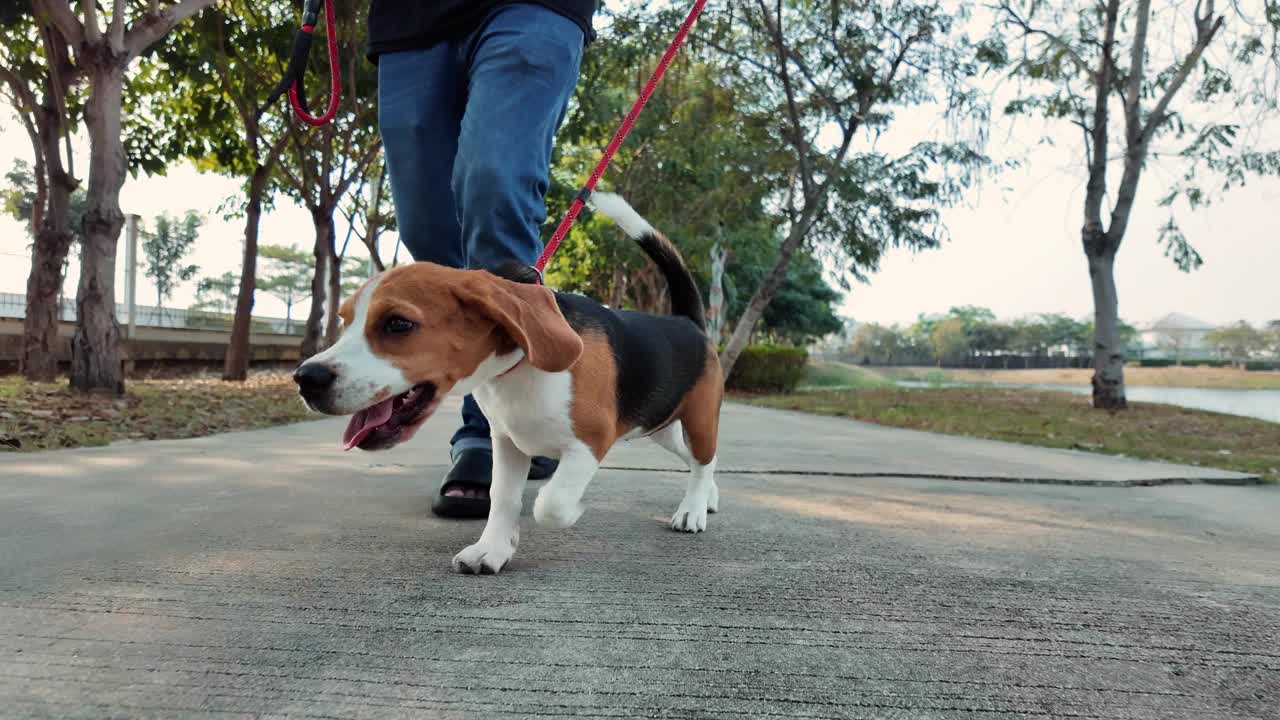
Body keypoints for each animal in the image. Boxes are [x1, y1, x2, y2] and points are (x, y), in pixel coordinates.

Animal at [293, 192, 727, 571]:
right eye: (346, 321)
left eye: (398, 324)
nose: (304, 378)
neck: (519, 369)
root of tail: (688, 323)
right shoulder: (506, 442)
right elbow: (501, 498)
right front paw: (493, 549)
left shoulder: (591, 440)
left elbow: (551, 505)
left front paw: (568, 512)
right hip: (660, 427)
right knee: (699, 462)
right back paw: (706, 498)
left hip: (698, 420)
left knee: (704, 459)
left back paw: (691, 510)